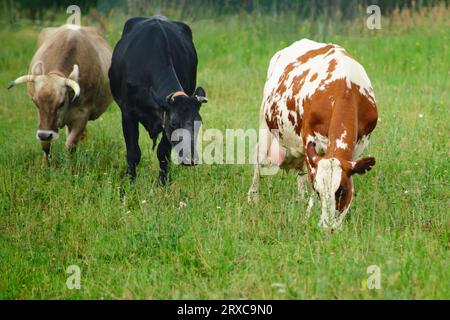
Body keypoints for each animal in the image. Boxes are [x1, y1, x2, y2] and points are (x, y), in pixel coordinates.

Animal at [8, 24, 113, 157]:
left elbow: (70, 145)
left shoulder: (82, 115)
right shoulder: (41, 120)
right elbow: (46, 146)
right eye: (35, 103)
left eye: (61, 103)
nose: (44, 135)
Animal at [109, 15, 207, 185]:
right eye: (174, 123)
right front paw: (130, 183)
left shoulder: (164, 120)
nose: (190, 159)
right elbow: (133, 153)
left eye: (199, 123)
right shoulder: (128, 112)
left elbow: (163, 153)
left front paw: (163, 183)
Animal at [248, 39, 378, 230]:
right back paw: (253, 197)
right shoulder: (309, 136)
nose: (327, 227)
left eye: (342, 190)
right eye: (318, 191)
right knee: (258, 161)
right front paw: (309, 213)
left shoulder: (359, 144)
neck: (345, 87)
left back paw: (300, 199)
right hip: (265, 127)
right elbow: (311, 176)